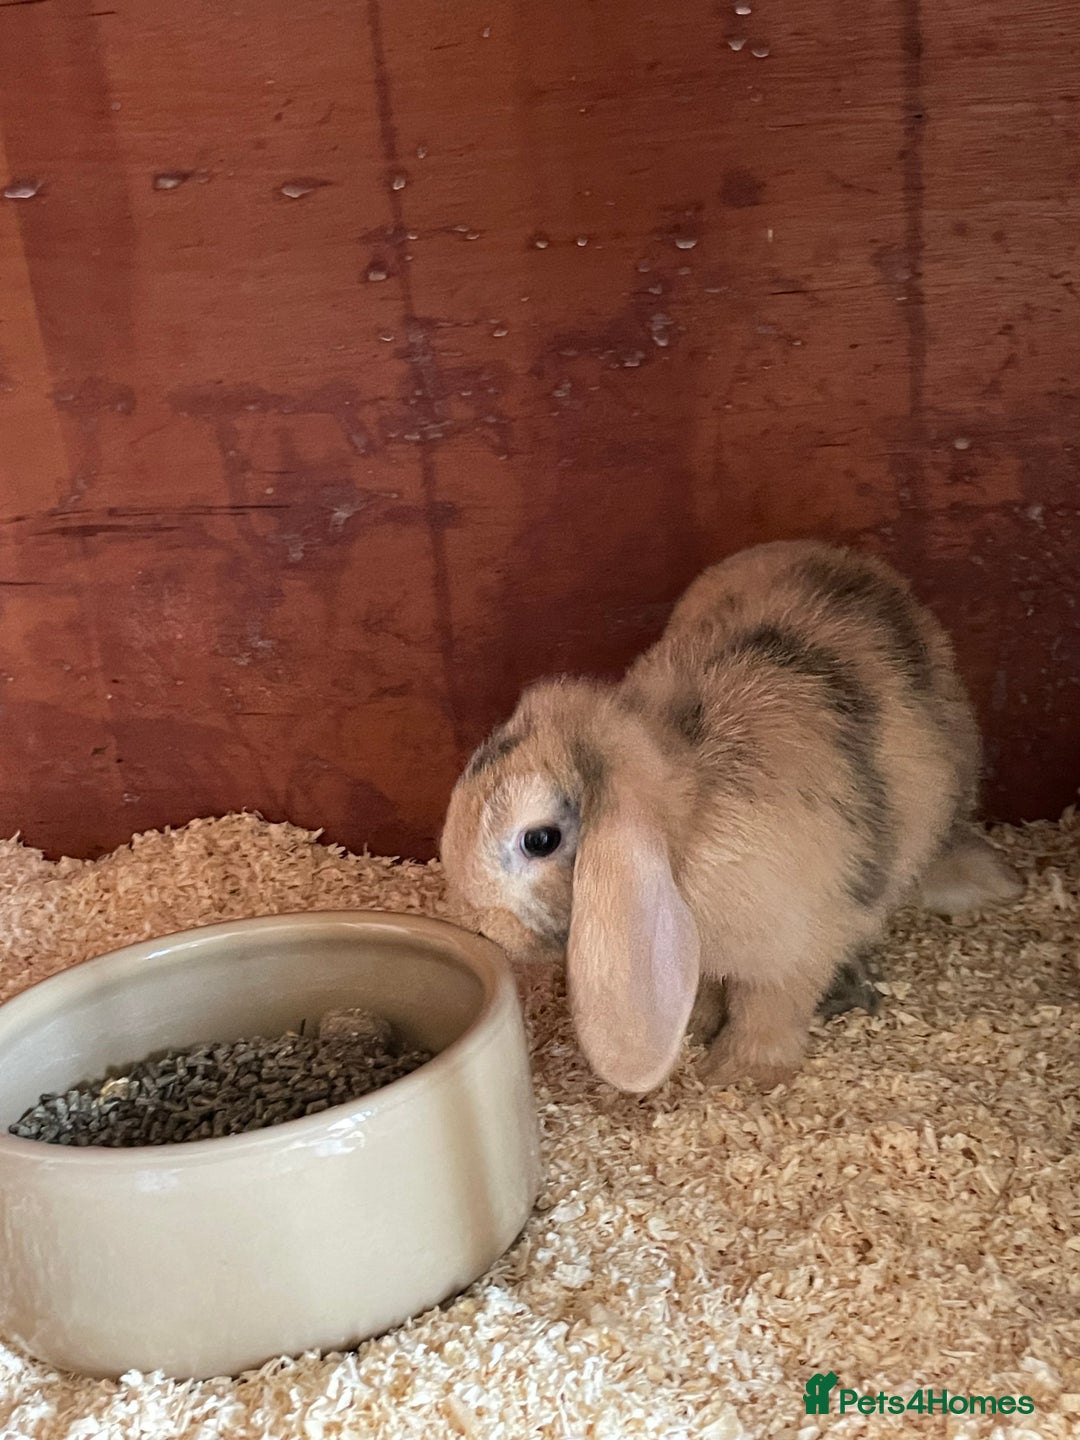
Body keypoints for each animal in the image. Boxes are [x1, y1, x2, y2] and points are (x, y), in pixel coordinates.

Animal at [439, 539, 1024, 1095]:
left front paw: (737, 1075)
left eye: (539, 840)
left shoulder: (791, 951)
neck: (688, 822)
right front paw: (697, 1032)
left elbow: (769, 1013)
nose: (486, 930)